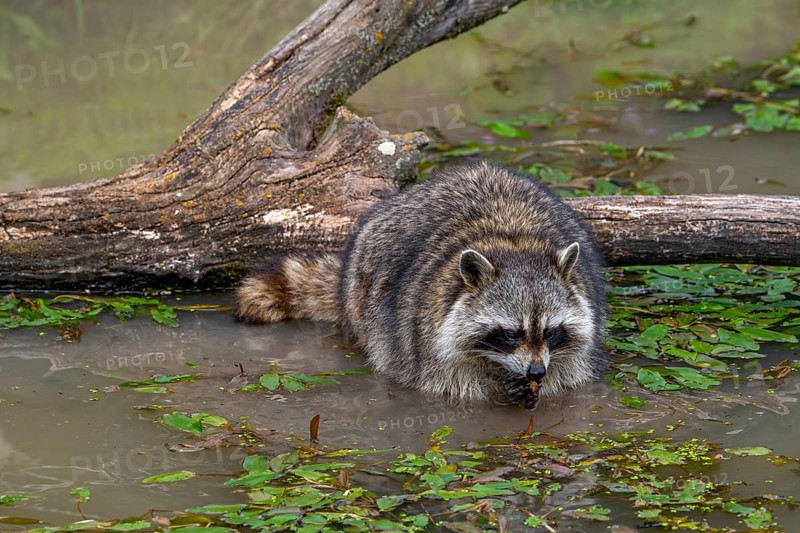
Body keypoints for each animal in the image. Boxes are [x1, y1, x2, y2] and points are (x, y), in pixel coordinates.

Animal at [236, 163, 608, 408]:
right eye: (511, 334)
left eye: (551, 331)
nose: (536, 370)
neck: (513, 243)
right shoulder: (426, 333)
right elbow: (452, 380)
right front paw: (501, 389)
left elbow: (568, 368)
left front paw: (541, 385)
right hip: (364, 286)